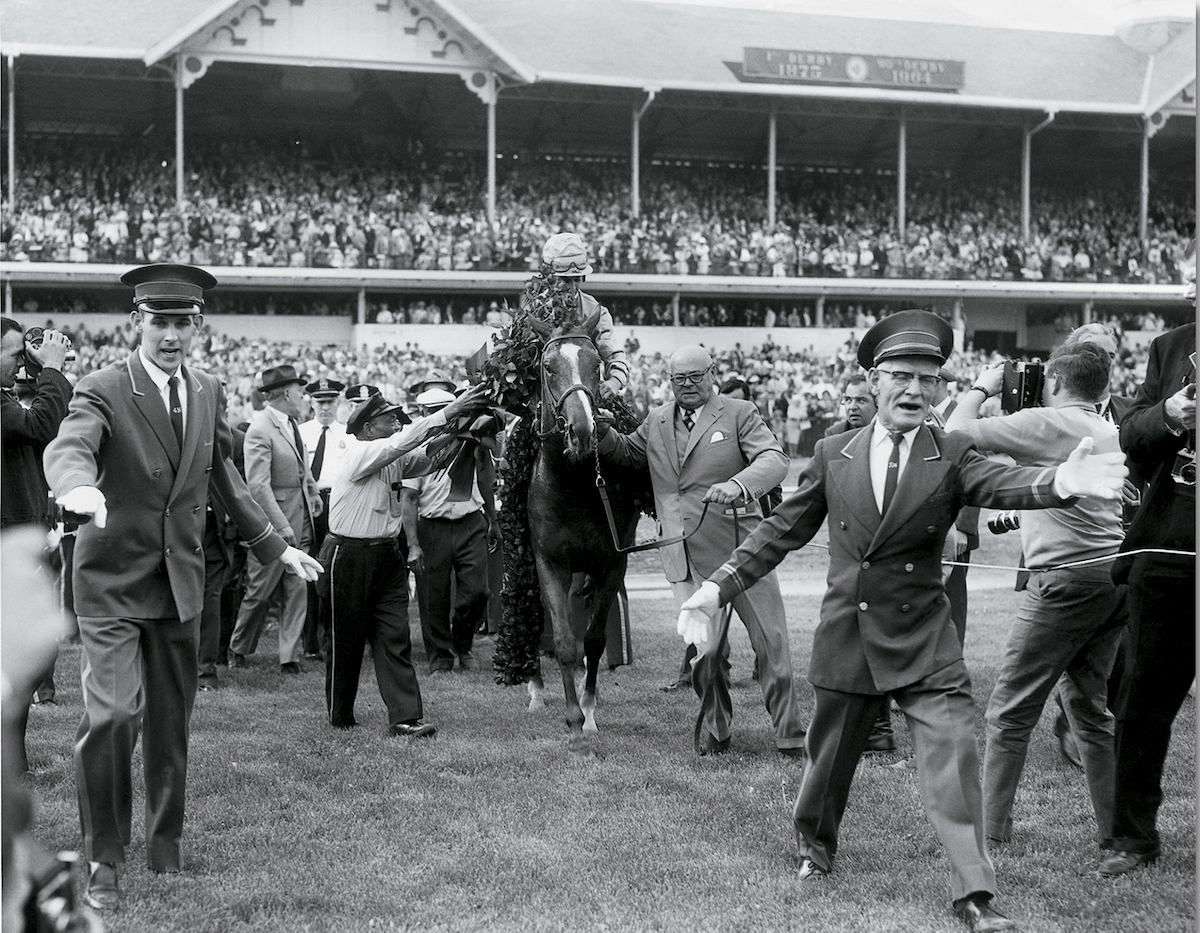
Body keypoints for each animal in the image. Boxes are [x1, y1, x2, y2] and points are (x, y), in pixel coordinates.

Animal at [523, 309, 643, 753]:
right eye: (547, 366)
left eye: (597, 365)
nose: (582, 430)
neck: (573, 486)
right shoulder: (548, 561)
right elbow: (561, 640)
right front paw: (573, 722)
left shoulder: (612, 563)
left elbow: (592, 639)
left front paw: (588, 714)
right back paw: (535, 689)